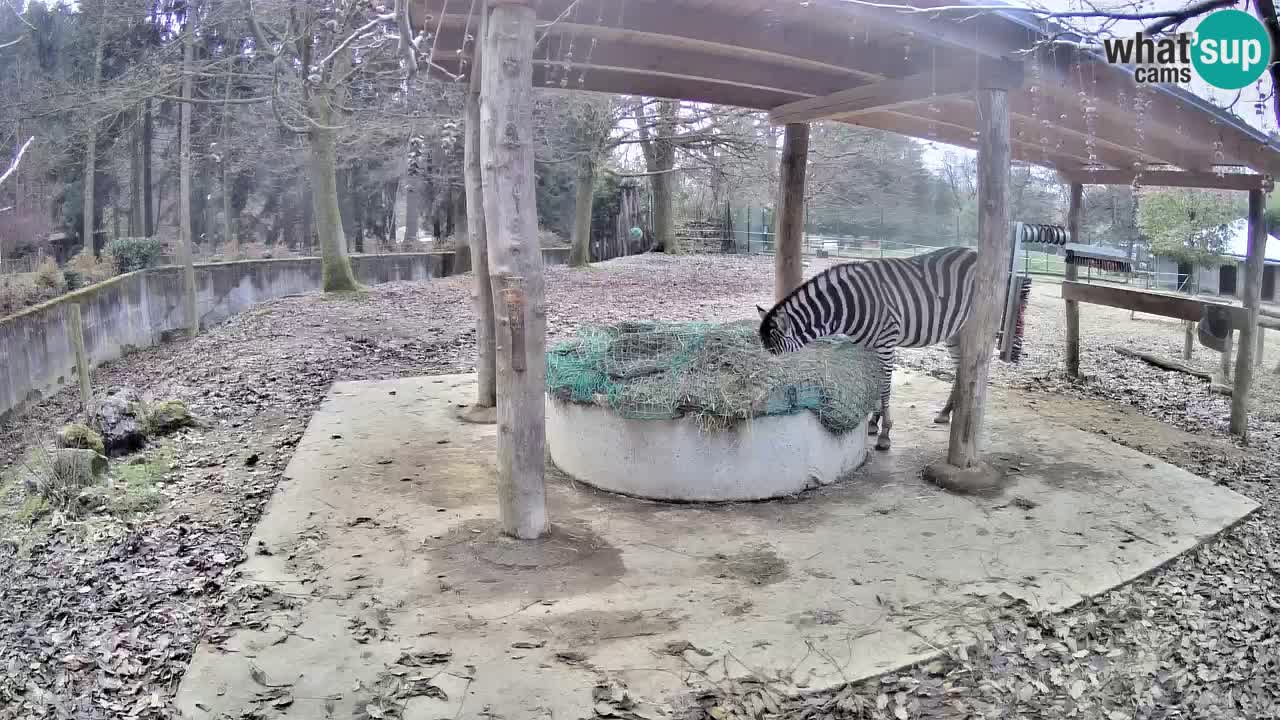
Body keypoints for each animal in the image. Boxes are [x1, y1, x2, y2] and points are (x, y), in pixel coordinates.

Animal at [757, 244, 977, 448]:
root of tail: (973, 251)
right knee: (960, 370)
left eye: (775, 354)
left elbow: (885, 386)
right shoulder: (868, 345)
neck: (847, 306)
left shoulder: (887, 342)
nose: (764, 395)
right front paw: (873, 422)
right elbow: (875, 381)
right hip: (955, 332)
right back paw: (945, 412)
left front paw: (885, 433)